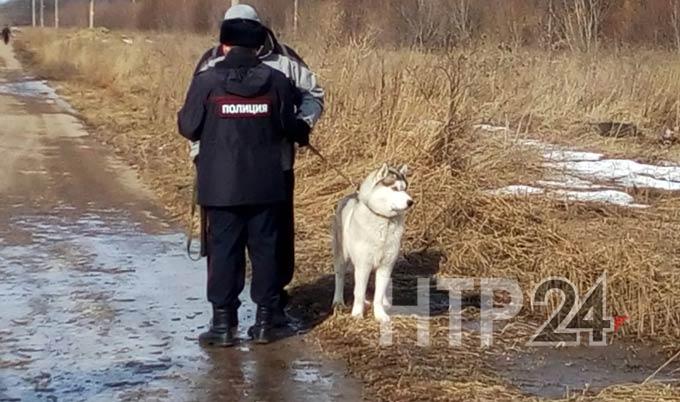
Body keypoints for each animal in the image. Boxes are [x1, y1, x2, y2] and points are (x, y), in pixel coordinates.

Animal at [330, 162, 412, 322]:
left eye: (405, 188)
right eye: (394, 188)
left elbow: (378, 295)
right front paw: (357, 314)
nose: (411, 202)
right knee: (340, 277)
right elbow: (359, 292)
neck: (384, 219)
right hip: (341, 256)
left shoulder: (386, 265)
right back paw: (338, 301)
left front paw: (380, 315)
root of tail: (350, 196)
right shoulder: (363, 265)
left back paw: (385, 302)